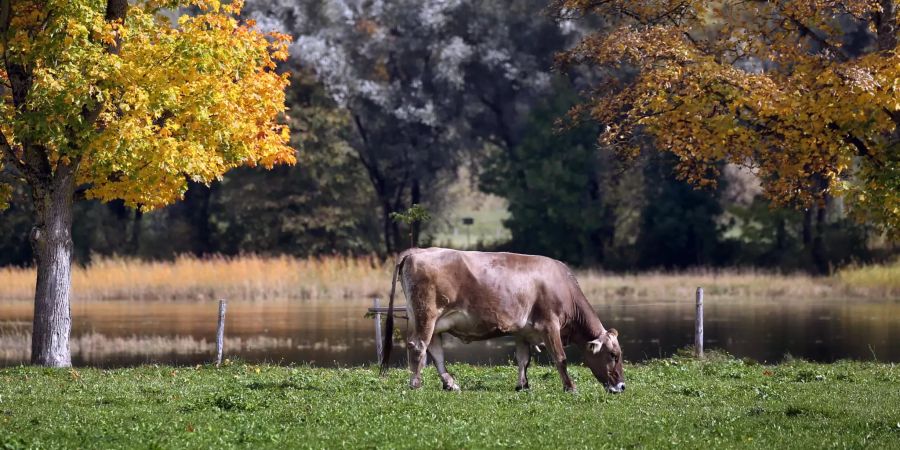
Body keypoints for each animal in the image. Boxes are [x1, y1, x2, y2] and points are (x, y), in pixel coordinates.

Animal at [376, 248, 624, 392]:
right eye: (613, 355)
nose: (622, 386)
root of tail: (418, 250)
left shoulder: (524, 331)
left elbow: (523, 359)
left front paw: (522, 386)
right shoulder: (549, 325)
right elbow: (560, 358)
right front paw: (570, 387)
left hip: (433, 322)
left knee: (435, 352)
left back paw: (450, 383)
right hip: (425, 314)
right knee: (418, 346)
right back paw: (415, 384)